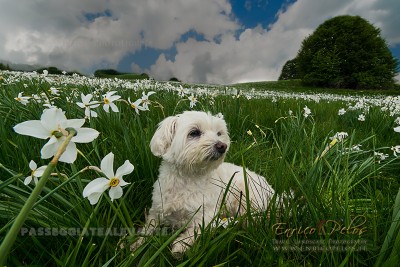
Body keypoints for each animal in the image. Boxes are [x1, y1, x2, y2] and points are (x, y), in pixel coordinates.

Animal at [131, 111, 276, 258]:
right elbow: (149, 227)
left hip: (247, 196)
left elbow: (193, 232)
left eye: (219, 133)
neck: (187, 178)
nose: (222, 146)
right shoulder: (157, 209)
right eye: (194, 133)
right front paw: (137, 245)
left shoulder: (206, 215)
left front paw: (180, 247)